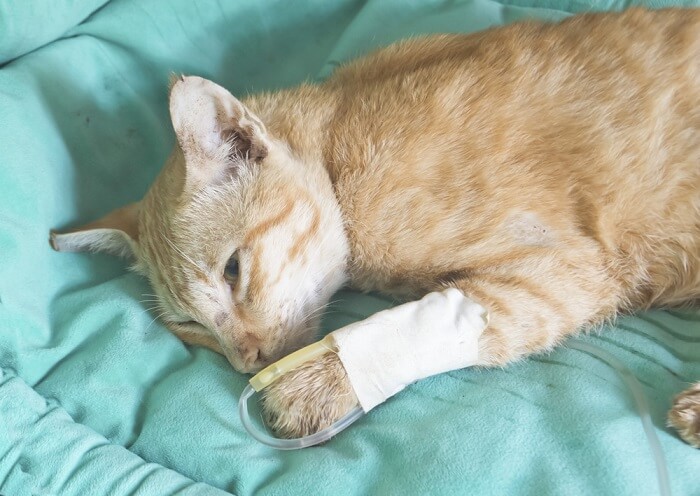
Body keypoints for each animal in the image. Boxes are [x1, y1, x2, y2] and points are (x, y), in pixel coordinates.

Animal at [50, 7, 700, 448]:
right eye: (188, 325)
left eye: (233, 271)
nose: (247, 361)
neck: (340, 151)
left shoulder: (568, 268)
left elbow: (461, 321)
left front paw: (317, 381)